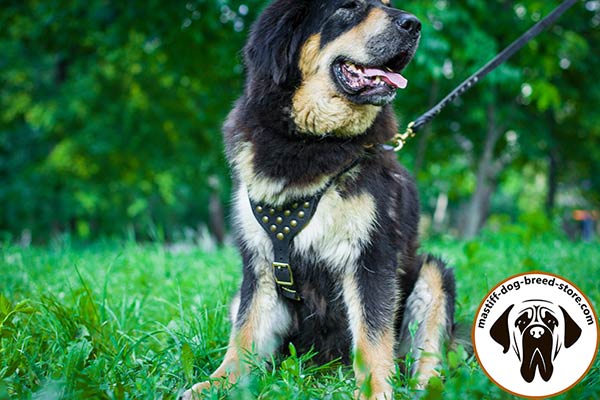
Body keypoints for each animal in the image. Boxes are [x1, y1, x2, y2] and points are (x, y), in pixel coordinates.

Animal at [182, 0, 454, 400]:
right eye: (349, 7)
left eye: (387, 4)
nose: (414, 24)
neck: (312, 141)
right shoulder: (260, 263)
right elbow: (244, 334)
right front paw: (220, 383)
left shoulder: (370, 256)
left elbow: (373, 335)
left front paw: (375, 391)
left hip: (434, 273)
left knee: (428, 358)